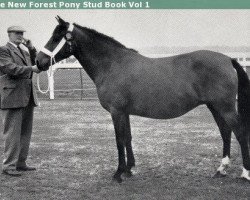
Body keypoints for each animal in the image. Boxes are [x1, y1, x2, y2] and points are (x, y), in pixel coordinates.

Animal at [34, 16, 250, 183]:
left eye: (56, 38)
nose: (38, 61)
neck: (112, 64)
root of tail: (228, 59)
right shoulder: (124, 113)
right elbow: (128, 138)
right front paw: (130, 169)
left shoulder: (117, 112)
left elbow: (119, 140)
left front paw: (118, 173)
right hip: (215, 106)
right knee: (225, 133)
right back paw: (221, 170)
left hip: (225, 107)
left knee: (240, 133)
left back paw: (245, 173)